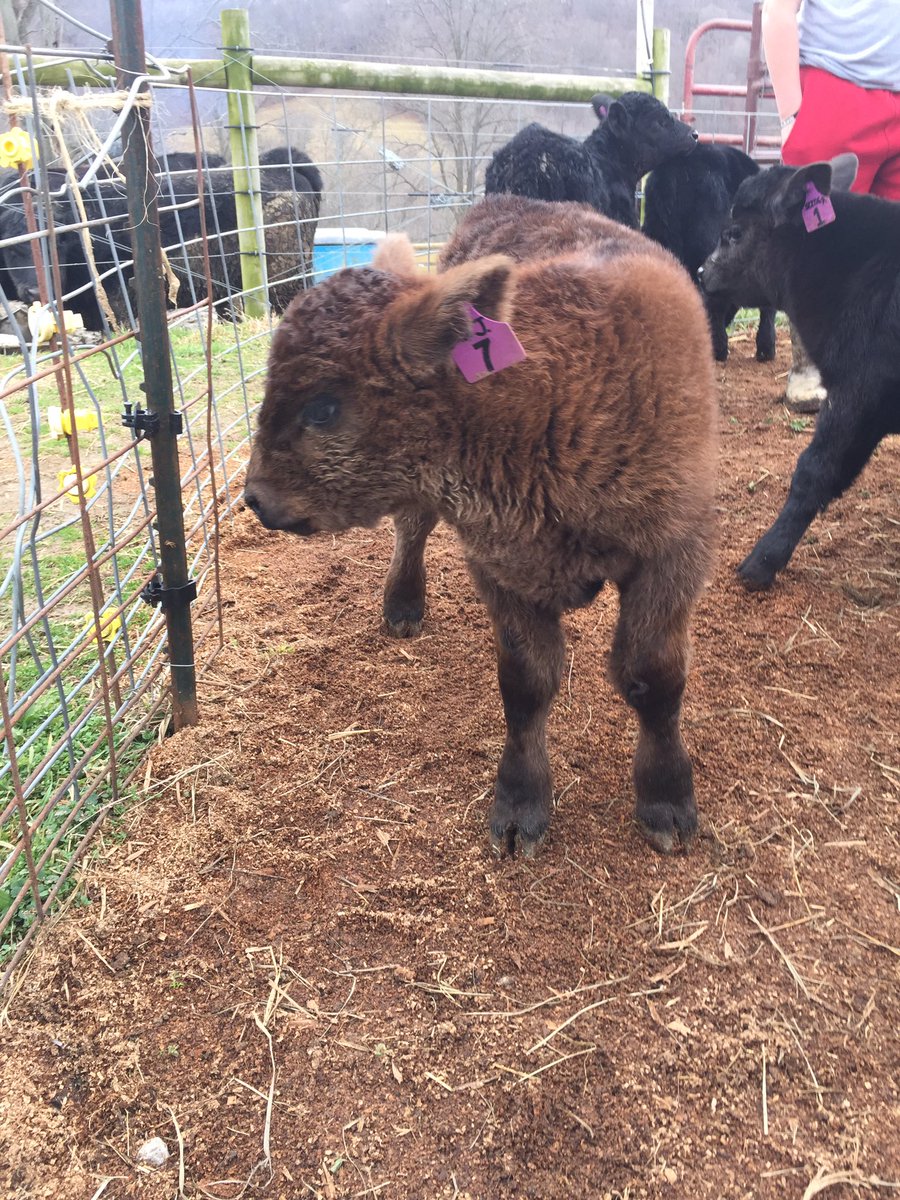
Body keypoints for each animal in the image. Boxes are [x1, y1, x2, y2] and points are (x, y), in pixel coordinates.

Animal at [244, 194, 720, 854]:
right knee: (411, 529)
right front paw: (520, 805)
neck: (550, 396)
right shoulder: (501, 566)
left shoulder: (674, 552)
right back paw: (403, 606)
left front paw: (667, 802)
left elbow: (653, 678)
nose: (255, 497)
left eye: (323, 407)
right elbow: (527, 685)